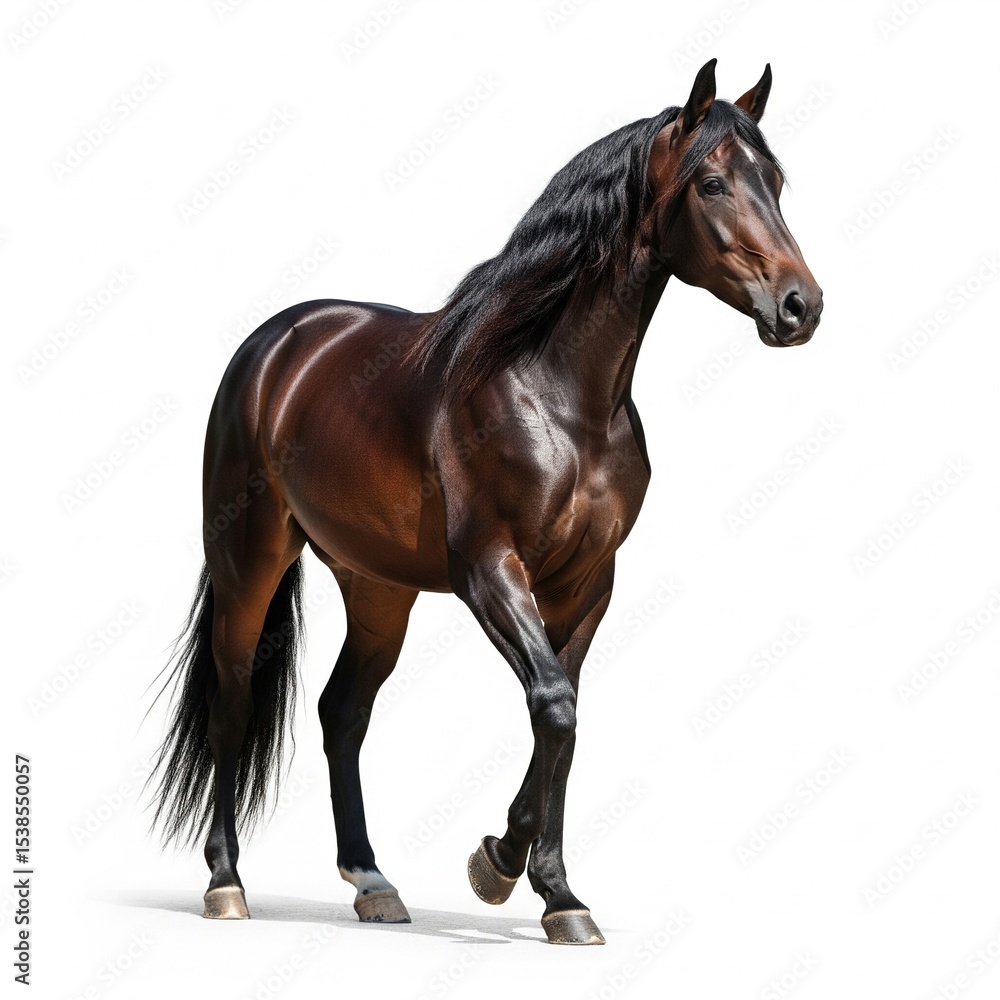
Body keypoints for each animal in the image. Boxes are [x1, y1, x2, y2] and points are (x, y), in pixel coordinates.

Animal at [148, 58, 823, 946]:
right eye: (712, 182)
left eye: (774, 182)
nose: (801, 307)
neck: (557, 394)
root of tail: (273, 348)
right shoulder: (489, 570)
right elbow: (555, 706)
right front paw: (497, 866)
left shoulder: (587, 585)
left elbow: (562, 717)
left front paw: (560, 896)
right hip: (248, 562)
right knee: (231, 705)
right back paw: (226, 883)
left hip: (378, 588)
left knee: (342, 713)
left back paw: (372, 882)